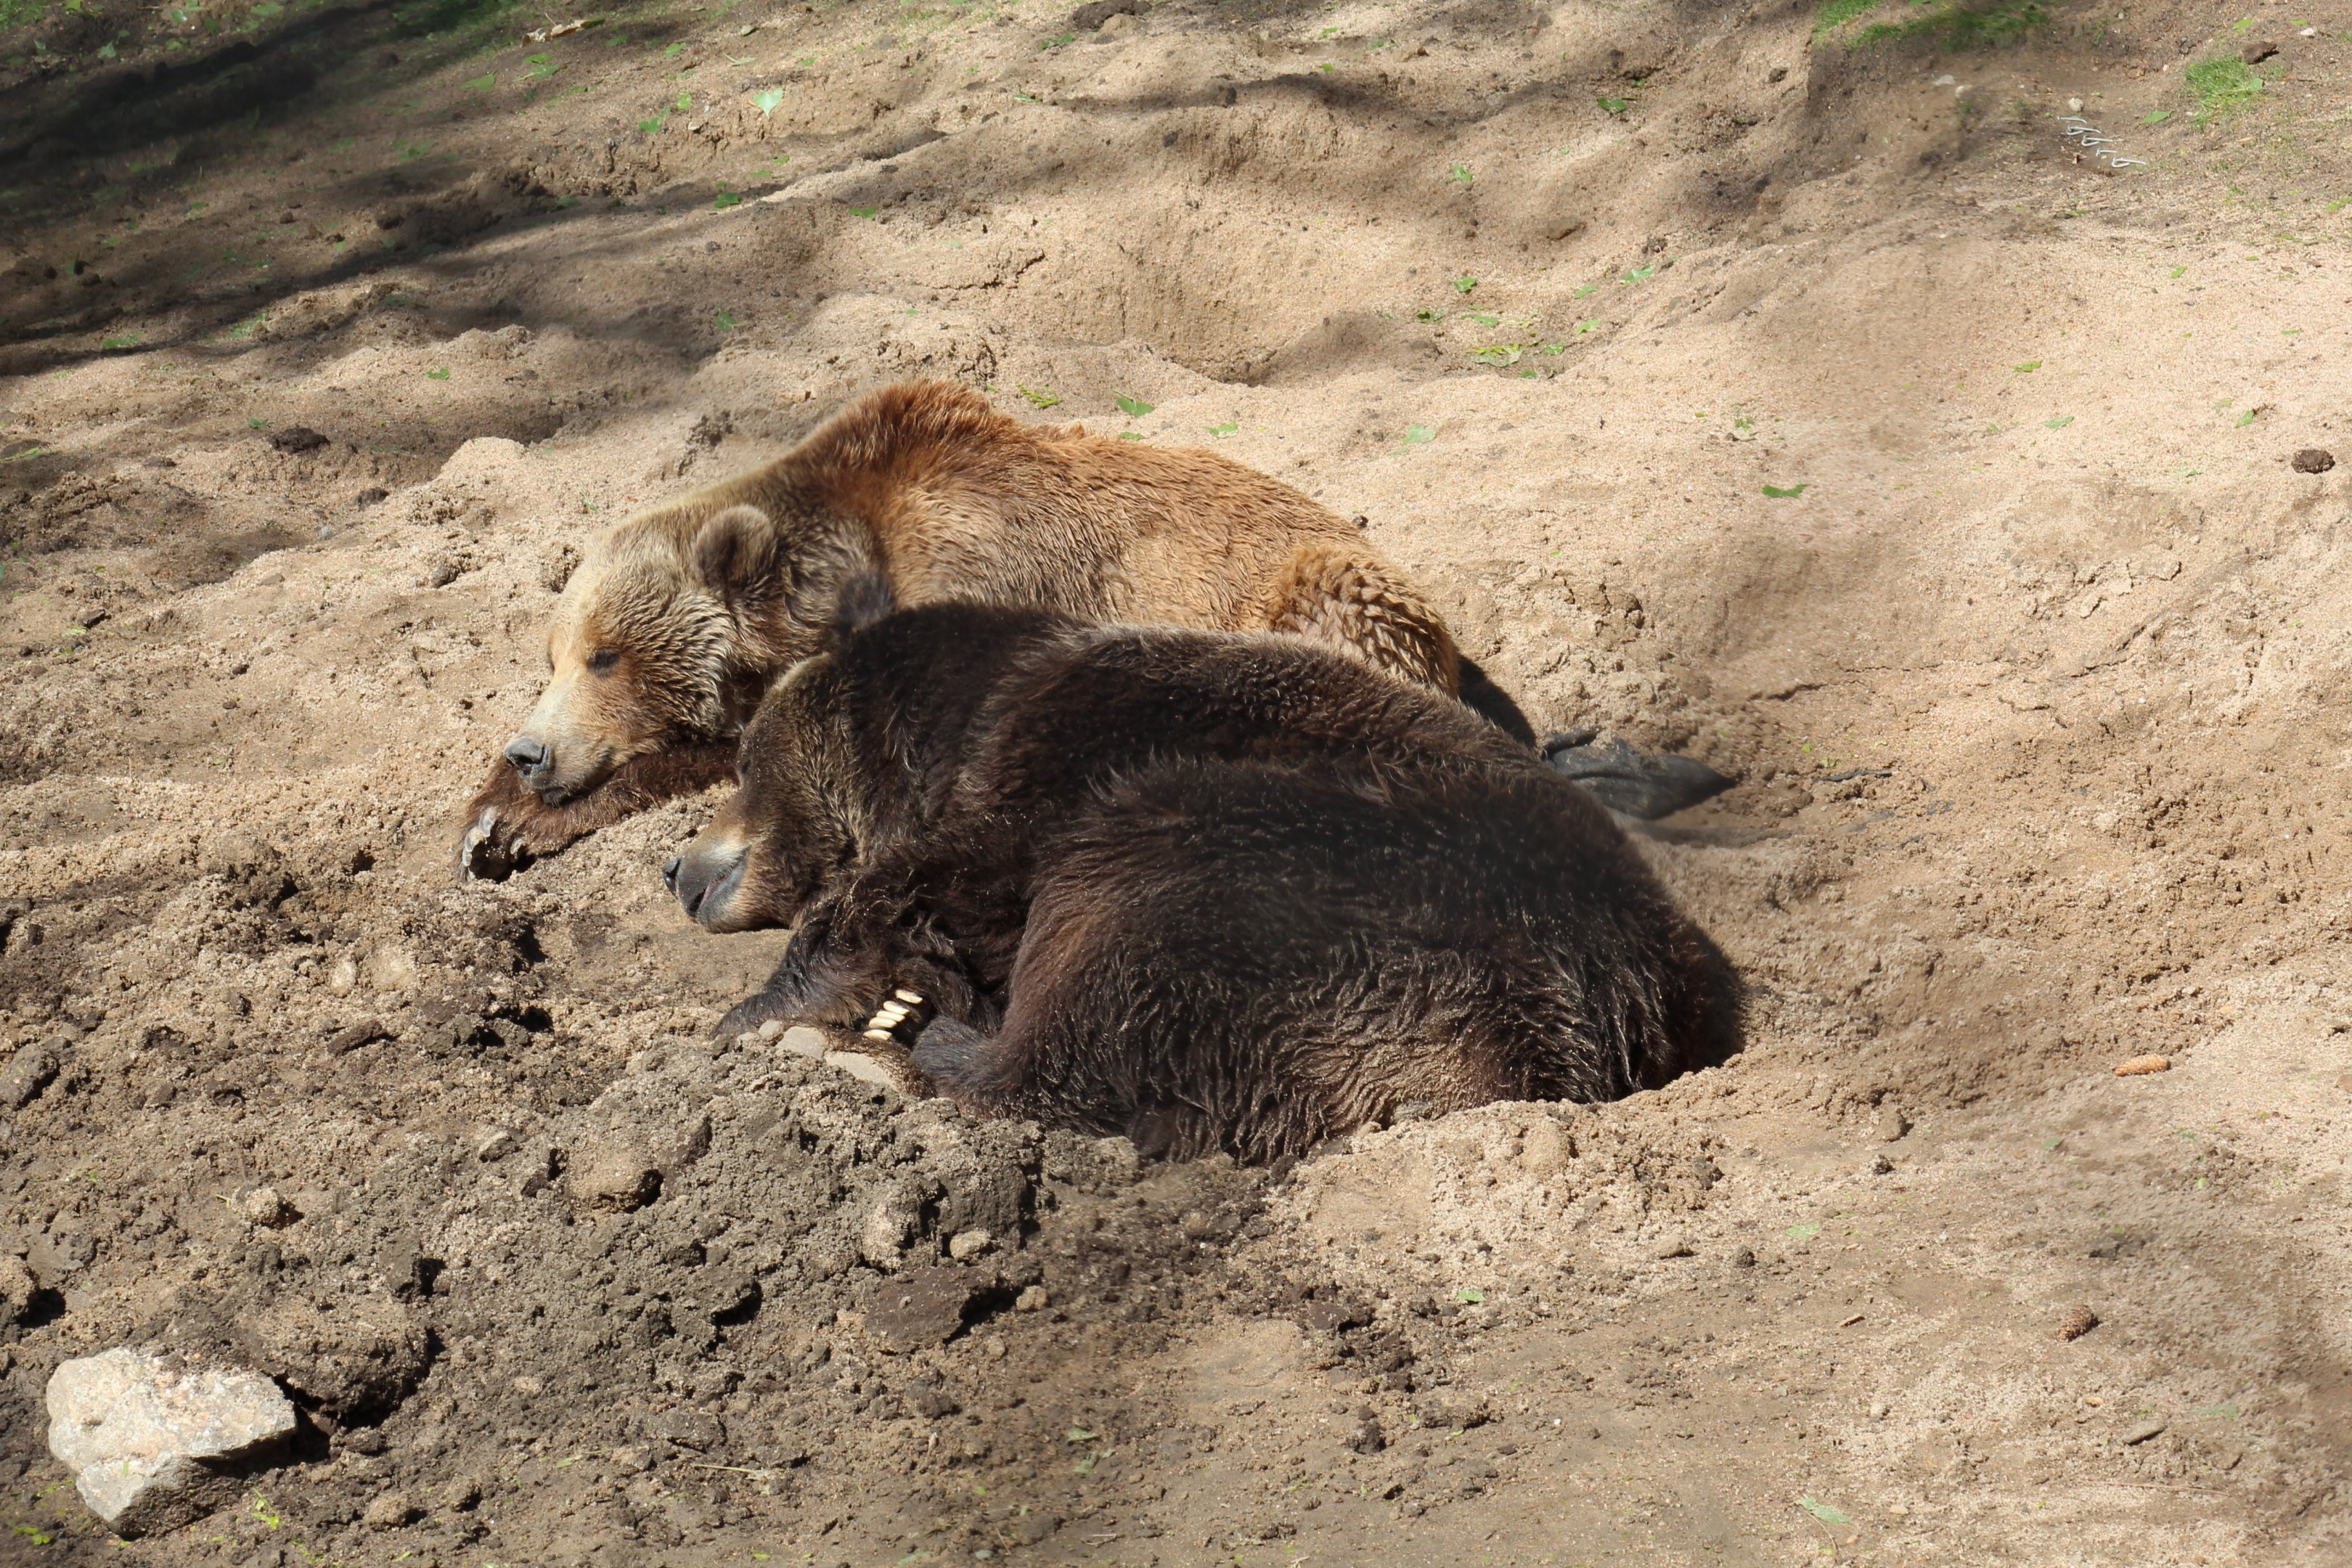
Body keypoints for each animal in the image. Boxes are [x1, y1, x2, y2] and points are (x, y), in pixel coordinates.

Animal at [458, 379, 1518, 880]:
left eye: (606, 656)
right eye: (551, 654)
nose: (530, 752)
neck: (847, 562)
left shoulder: (974, 575)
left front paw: (523, 821)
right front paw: (484, 820)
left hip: (1316, 591)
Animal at [664, 593, 1738, 1164]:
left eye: (744, 764)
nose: (676, 865)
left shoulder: (1052, 768)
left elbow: (914, 889)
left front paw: (762, 1016)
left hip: (1304, 879)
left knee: (1103, 978)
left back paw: (899, 1045)